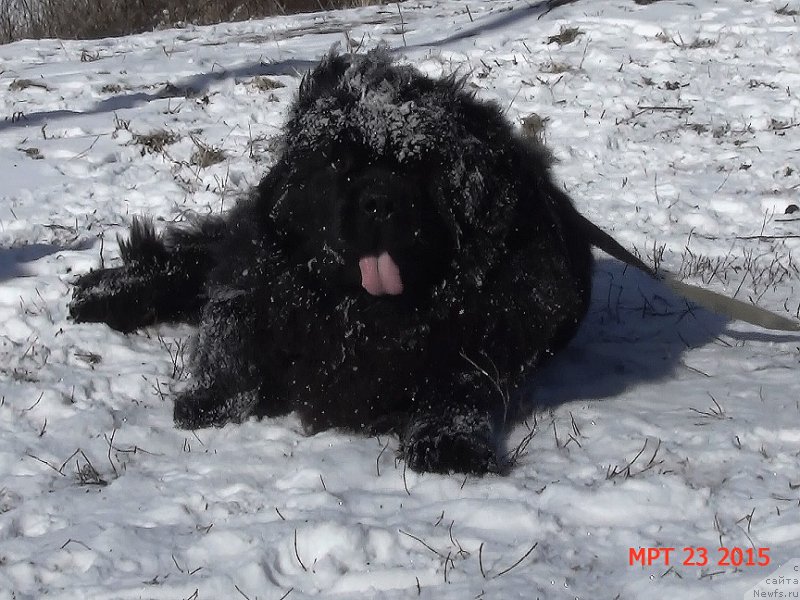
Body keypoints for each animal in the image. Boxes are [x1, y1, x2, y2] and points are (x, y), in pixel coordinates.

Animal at [70, 49, 592, 476]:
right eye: (339, 163)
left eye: (420, 166)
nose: (380, 201)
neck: (362, 316)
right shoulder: (255, 280)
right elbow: (231, 331)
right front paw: (208, 400)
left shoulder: (484, 337)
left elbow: (458, 388)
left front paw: (450, 445)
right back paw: (100, 296)